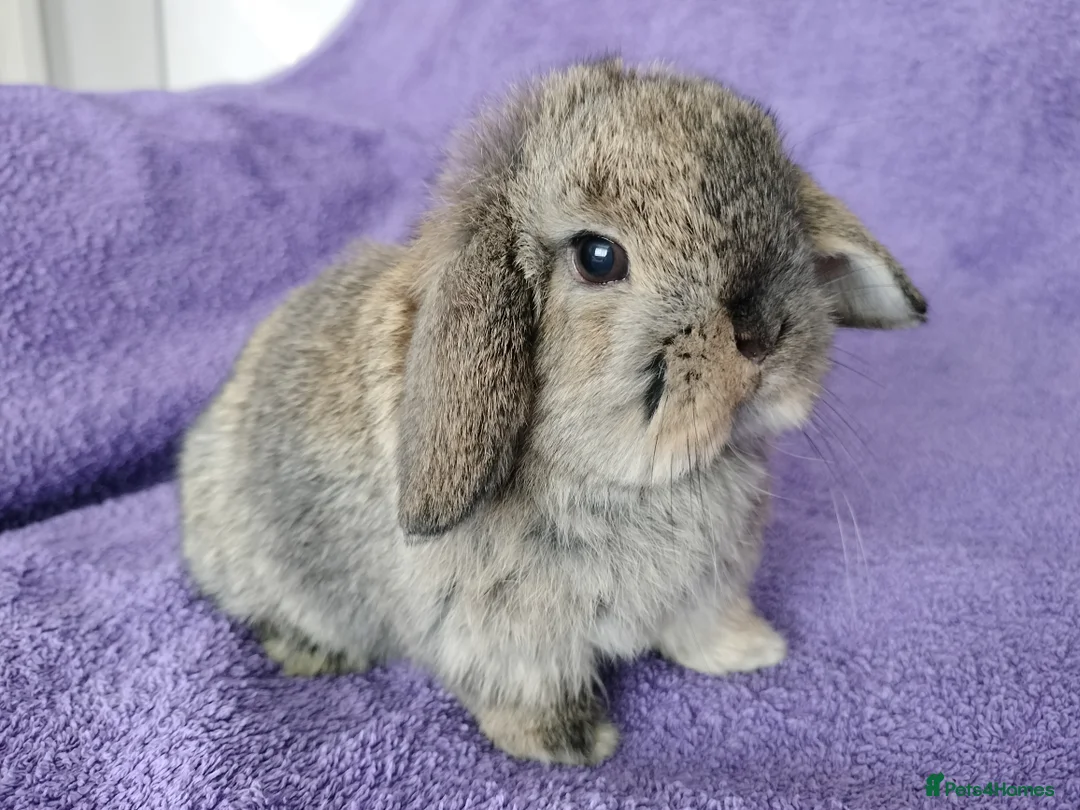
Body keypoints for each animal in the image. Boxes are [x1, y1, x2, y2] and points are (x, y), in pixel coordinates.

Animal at [179, 57, 927, 766]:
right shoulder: (504, 636)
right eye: (598, 257)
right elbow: (529, 687)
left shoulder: (706, 589)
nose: (764, 331)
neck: (631, 477)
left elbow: (702, 629)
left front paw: (751, 650)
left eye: (784, 216)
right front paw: (572, 744)